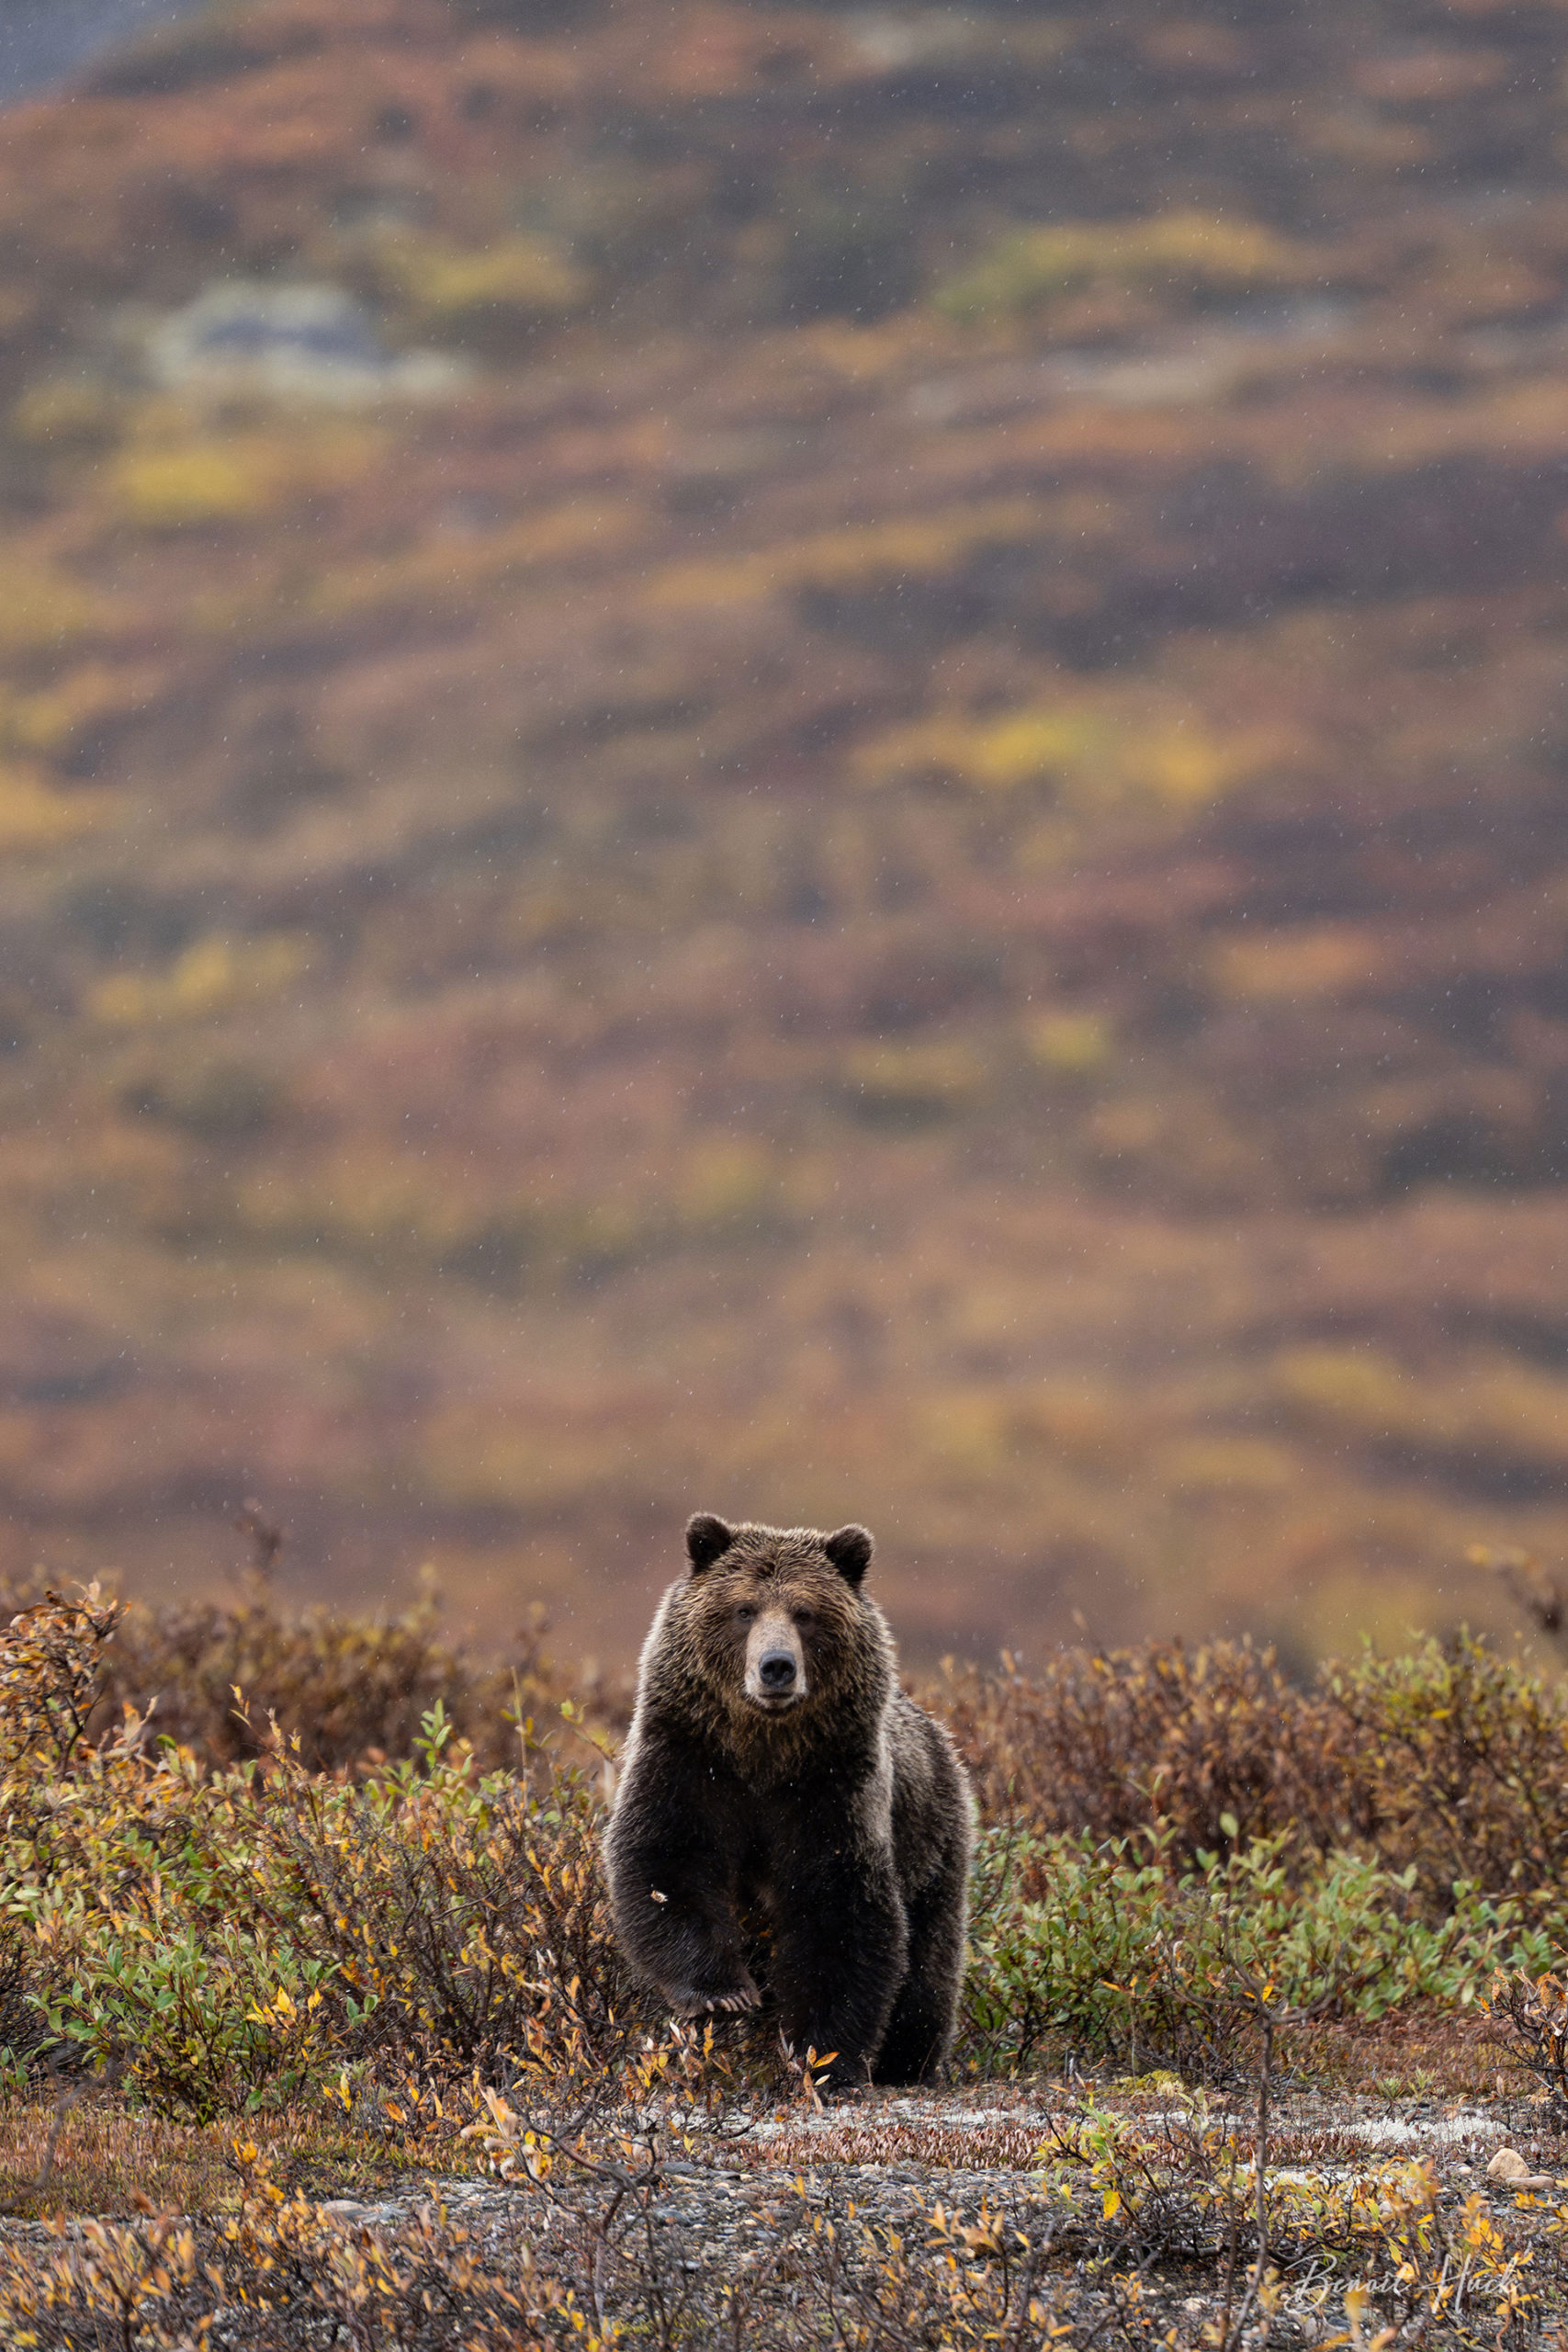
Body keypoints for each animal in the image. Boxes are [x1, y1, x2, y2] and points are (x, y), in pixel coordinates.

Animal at [604, 1513, 973, 2092]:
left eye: (805, 1613)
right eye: (743, 1610)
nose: (776, 1666)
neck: (764, 1752)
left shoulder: (832, 1788)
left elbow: (840, 1907)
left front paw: (824, 2056)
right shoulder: (689, 1760)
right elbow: (668, 1861)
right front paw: (725, 1994)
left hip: (933, 1846)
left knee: (928, 1971)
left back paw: (908, 2064)